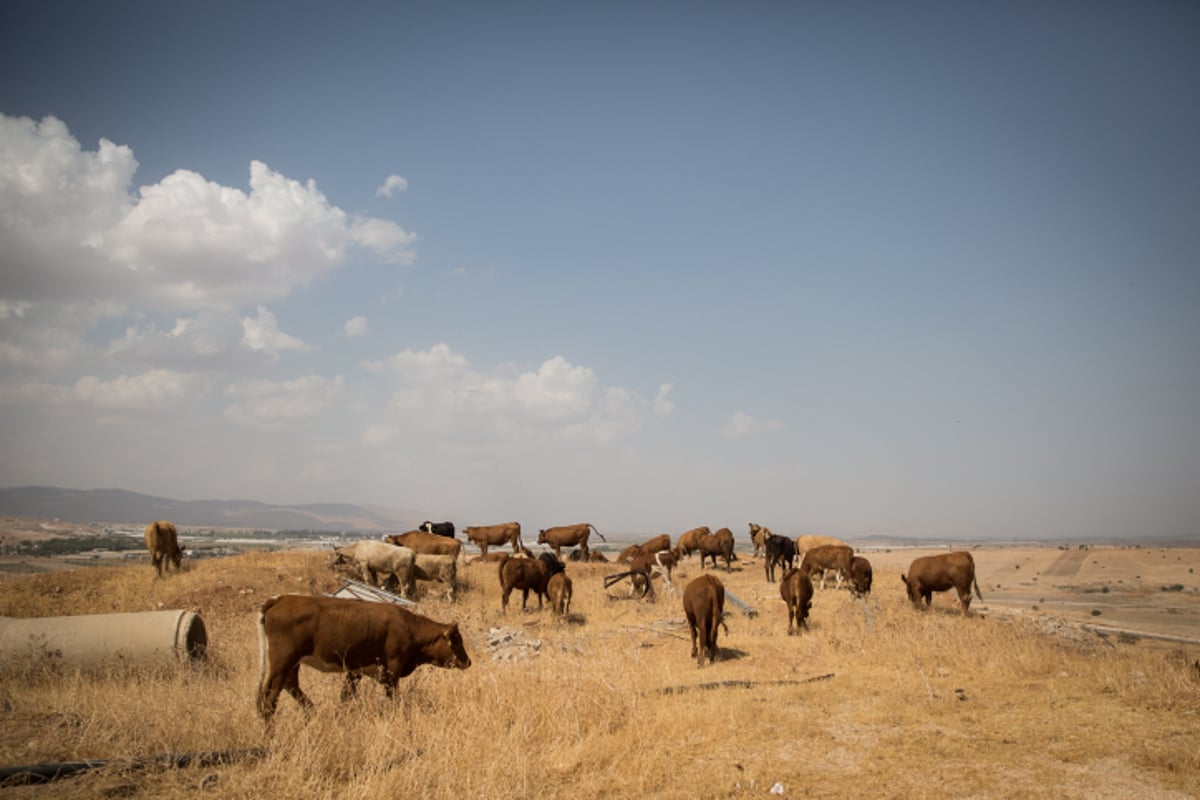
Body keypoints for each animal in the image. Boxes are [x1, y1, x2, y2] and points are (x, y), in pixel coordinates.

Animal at [255, 592, 470, 724]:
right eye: (456, 640)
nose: (468, 661)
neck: (409, 627)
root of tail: (280, 599)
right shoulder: (392, 669)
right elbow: (393, 697)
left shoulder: (355, 671)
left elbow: (346, 696)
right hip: (282, 663)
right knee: (271, 699)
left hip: (292, 663)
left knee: (291, 686)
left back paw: (311, 713)